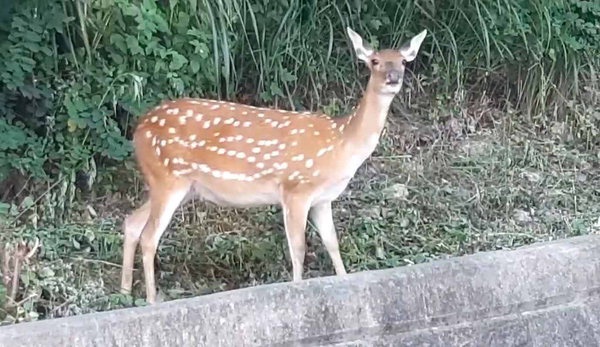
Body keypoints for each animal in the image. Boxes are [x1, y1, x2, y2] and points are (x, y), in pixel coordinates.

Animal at [119, 27, 426, 304]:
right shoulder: (295, 188)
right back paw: (151, 300)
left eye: (403, 61)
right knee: (149, 235)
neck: (340, 143)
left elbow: (332, 243)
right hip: (169, 177)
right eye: (374, 61)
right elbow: (298, 249)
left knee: (132, 222)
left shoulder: (323, 199)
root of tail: (138, 131)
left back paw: (124, 292)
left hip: (179, 186)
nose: (393, 78)